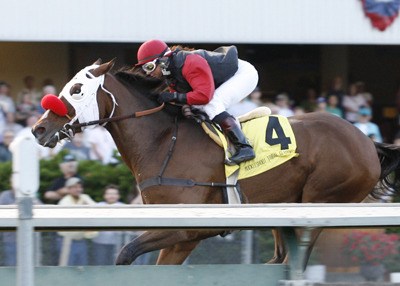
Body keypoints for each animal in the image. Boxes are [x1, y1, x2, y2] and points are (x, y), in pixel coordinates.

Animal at [32, 59, 400, 266]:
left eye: (77, 90)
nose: (38, 129)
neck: (163, 141)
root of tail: (366, 141)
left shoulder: (187, 228)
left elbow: (125, 254)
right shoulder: (180, 236)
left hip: (320, 202)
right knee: (280, 258)